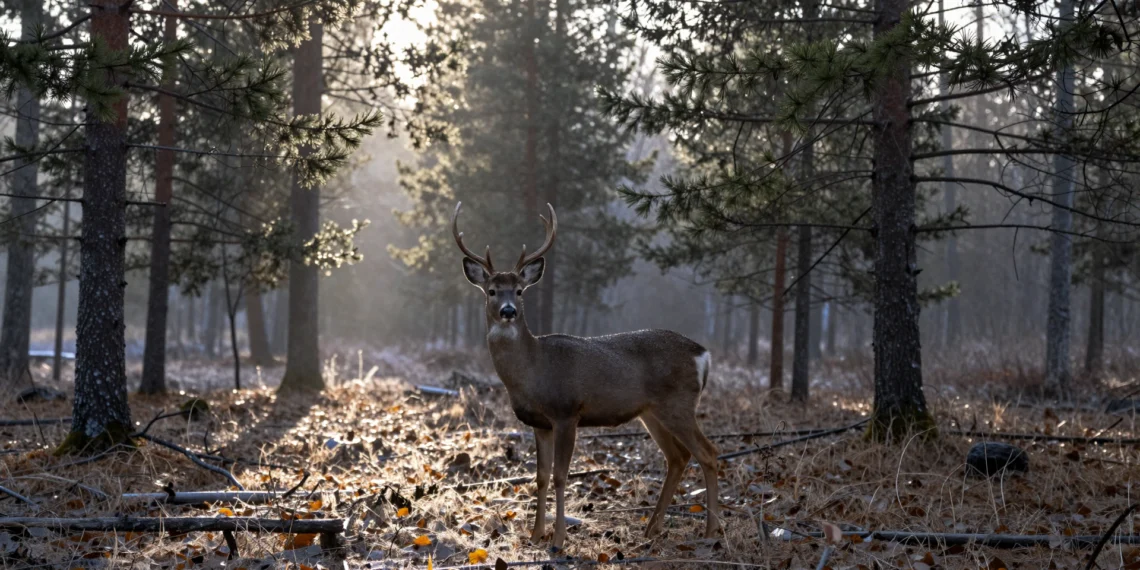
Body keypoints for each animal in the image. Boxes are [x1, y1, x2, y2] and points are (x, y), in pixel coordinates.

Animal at [451, 201, 721, 549]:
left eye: (521, 291)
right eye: (492, 291)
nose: (508, 311)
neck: (534, 370)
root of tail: (703, 354)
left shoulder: (567, 412)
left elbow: (560, 476)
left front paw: (558, 539)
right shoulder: (539, 423)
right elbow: (540, 477)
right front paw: (535, 535)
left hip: (678, 403)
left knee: (708, 453)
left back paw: (711, 532)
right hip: (651, 411)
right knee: (678, 456)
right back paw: (651, 528)